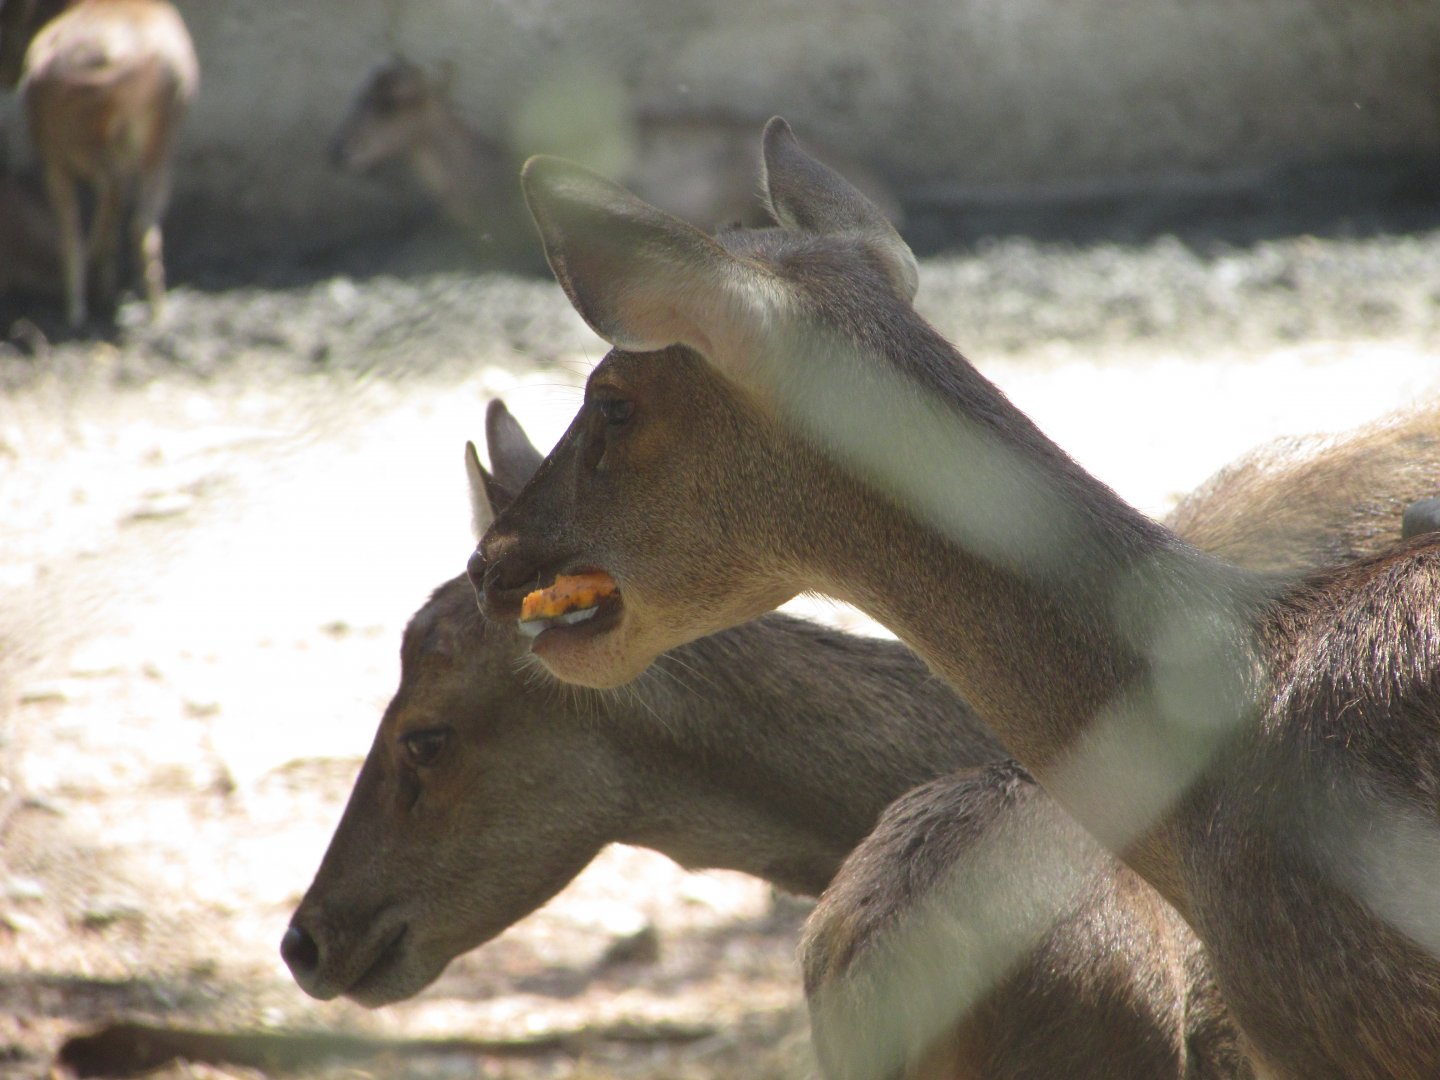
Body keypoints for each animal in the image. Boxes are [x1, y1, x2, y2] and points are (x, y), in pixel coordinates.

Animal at [11, 0, 197, 327]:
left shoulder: (54, 159)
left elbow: (72, 232)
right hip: (159, 145)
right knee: (140, 223)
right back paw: (156, 311)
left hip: (94, 152)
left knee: (104, 209)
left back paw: (85, 303)